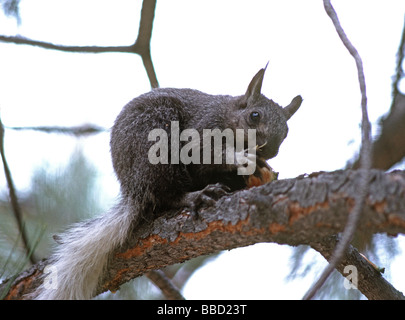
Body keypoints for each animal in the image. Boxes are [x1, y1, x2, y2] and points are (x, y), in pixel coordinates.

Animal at [31, 65, 302, 300]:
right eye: (254, 116)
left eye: (287, 132)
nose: (270, 151)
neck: (227, 115)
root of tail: (133, 191)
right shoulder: (201, 130)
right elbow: (206, 153)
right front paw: (241, 158)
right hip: (158, 143)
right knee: (166, 196)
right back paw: (195, 196)